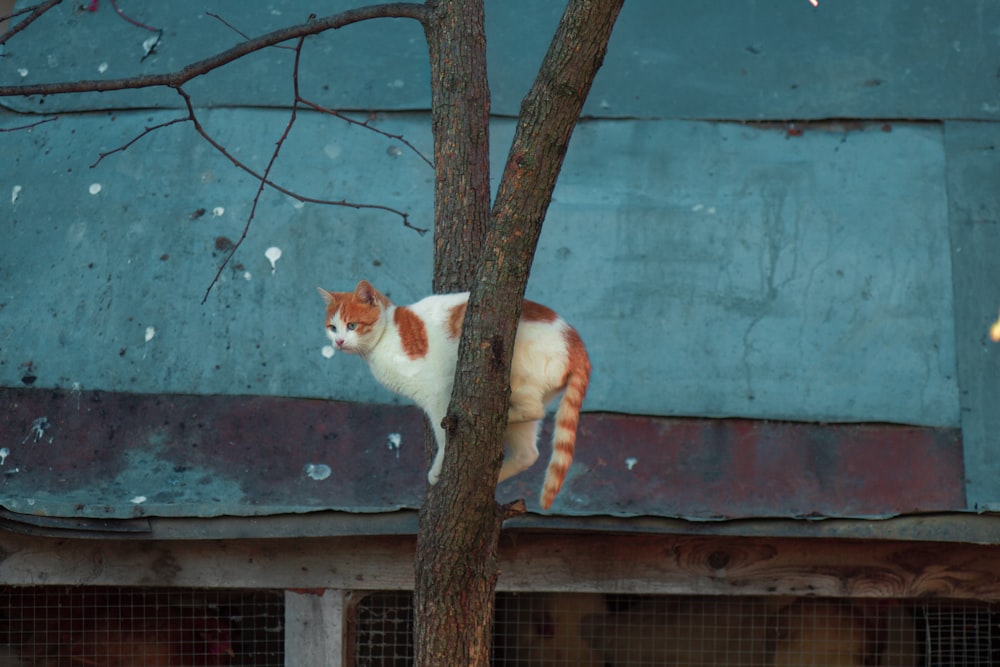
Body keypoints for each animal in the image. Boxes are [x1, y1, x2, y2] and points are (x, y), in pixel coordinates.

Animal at [316, 280, 588, 508]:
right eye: (332, 328)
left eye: (352, 326)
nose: (338, 342)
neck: (385, 338)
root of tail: (577, 344)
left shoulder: (438, 393)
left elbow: (443, 434)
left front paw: (437, 469)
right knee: (528, 453)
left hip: (516, 374)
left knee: (533, 410)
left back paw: (494, 419)